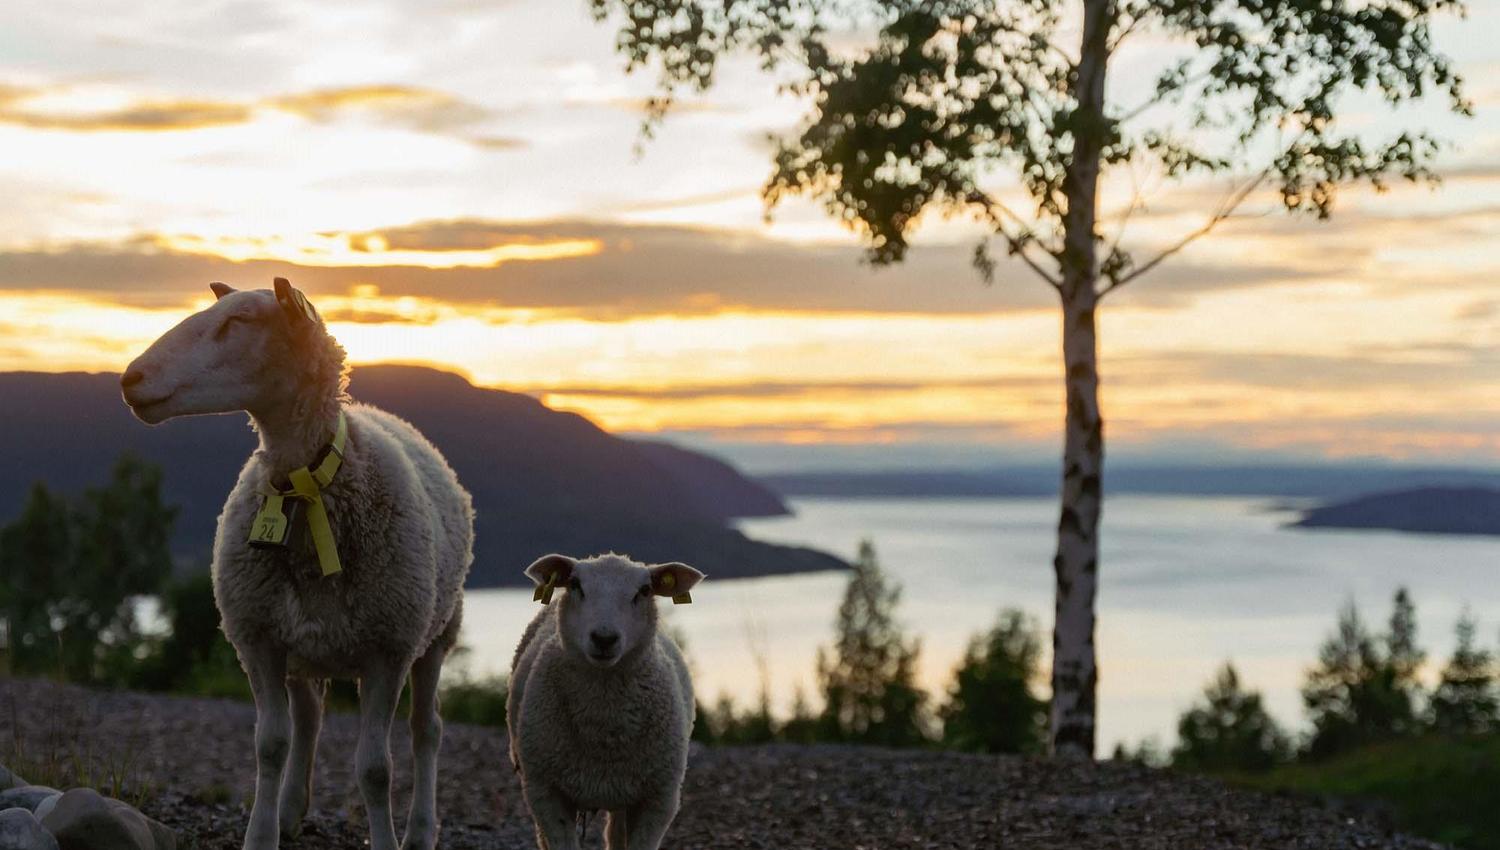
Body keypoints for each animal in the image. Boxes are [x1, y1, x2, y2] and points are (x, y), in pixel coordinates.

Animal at [120, 278, 474, 850]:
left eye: (239, 321)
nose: (130, 378)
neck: (307, 486)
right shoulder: (259, 639)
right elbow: (269, 745)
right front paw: (260, 835)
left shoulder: (388, 650)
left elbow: (375, 768)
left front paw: (384, 839)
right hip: (304, 644)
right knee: (308, 721)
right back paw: (290, 811)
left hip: (435, 634)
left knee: (427, 730)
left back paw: (421, 829)